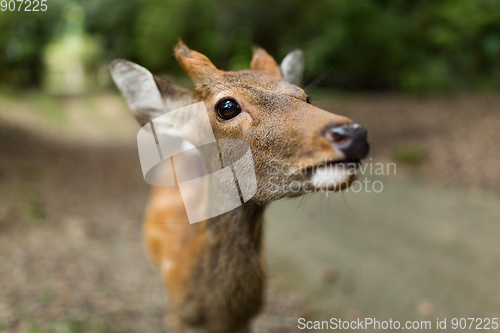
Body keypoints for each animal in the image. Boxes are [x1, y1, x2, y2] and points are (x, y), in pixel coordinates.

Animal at [108, 41, 368, 332]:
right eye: (227, 106)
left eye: (306, 96)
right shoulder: (182, 316)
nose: (354, 134)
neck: (218, 315)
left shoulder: (246, 320)